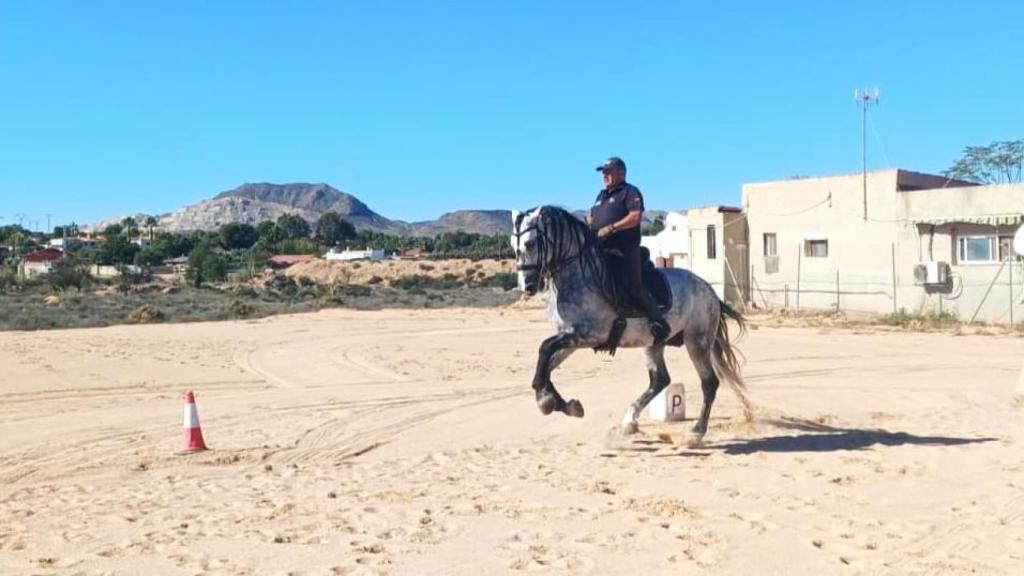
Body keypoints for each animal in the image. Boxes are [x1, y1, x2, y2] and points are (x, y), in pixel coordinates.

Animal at [511, 205, 753, 445]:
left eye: (530, 244)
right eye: (513, 246)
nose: (527, 286)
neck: (577, 277)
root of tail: (709, 290)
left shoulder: (588, 334)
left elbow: (544, 349)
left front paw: (545, 400)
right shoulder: (569, 338)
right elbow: (547, 365)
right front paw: (565, 404)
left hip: (697, 341)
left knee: (708, 382)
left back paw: (696, 432)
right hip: (654, 343)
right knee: (660, 380)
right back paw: (629, 420)